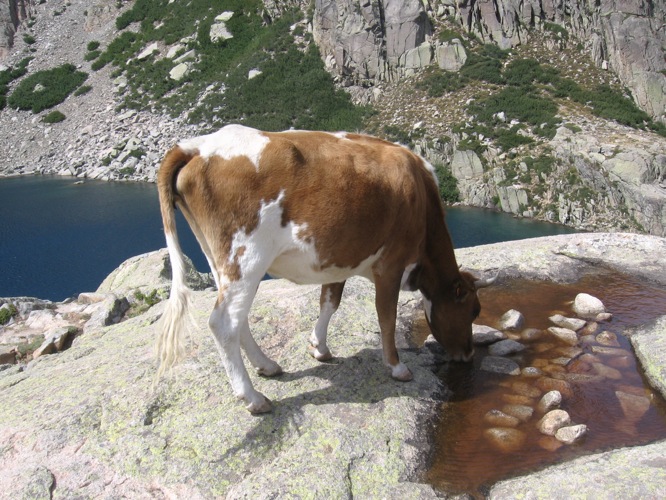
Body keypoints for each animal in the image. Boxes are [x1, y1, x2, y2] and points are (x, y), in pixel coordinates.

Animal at [156, 124, 492, 414]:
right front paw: (397, 367)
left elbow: (329, 302)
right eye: (473, 310)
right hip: (247, 256)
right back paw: (252, 397)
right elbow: (386, 315)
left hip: (219, 259)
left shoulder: (339, 260)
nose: (468, 355)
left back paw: (266, 365)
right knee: (224, 322)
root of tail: (196, 145)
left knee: (238, 319)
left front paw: (319, 348)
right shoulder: (391, 263)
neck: (420, 194)